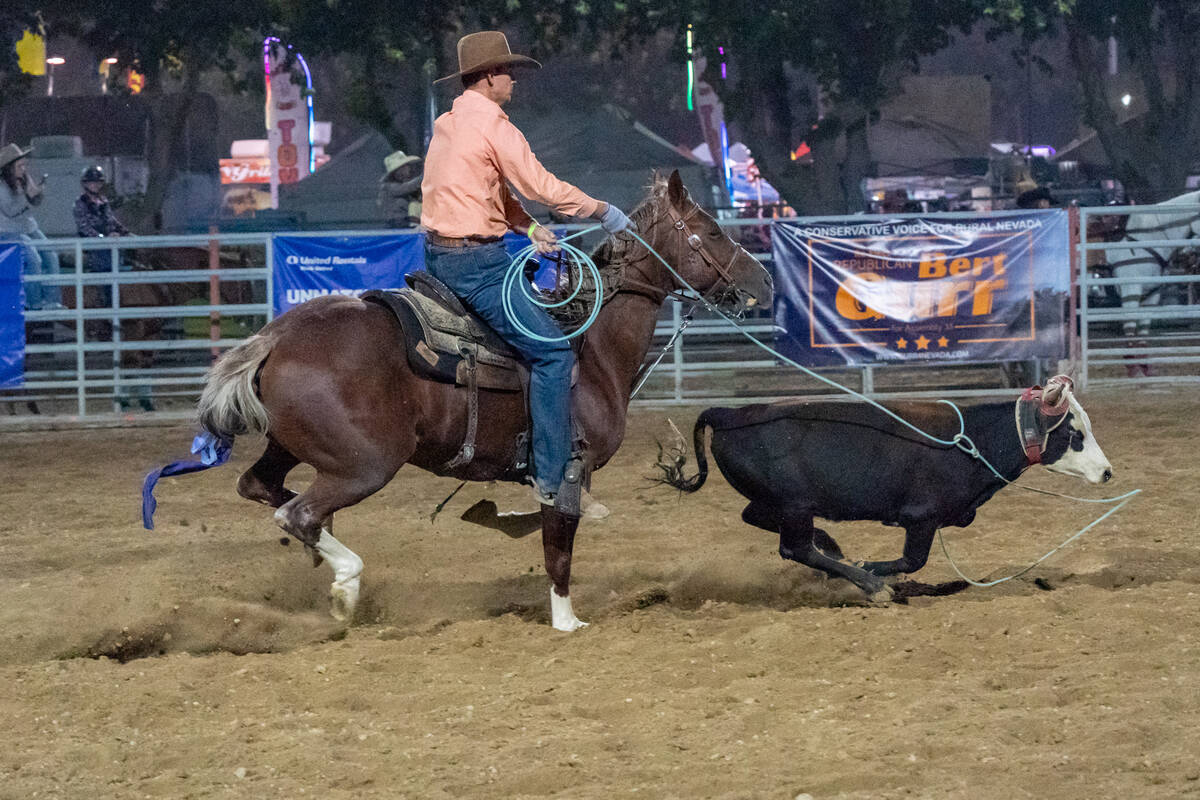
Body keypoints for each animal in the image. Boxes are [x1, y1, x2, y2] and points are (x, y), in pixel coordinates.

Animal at [192, 173, 772, 633]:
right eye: (713, 231)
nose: (763, 282)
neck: (591, 344)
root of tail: (273, 338)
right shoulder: (568, 466)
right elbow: (559, 546)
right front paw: (567, 621)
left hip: (295, 446)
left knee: (263, 488)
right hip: (365, 464)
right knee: (300, 513)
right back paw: (345, 585)